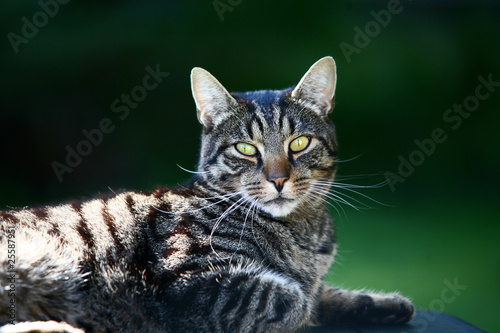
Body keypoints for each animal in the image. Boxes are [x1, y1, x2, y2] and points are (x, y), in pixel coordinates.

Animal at [0, 55, 414, 330]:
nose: (278, 179)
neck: (303, 233)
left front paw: (381, 303)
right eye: (245, 148)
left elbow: (317, 292)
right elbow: (295, 300)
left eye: (299, 143)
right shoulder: (191, 280)